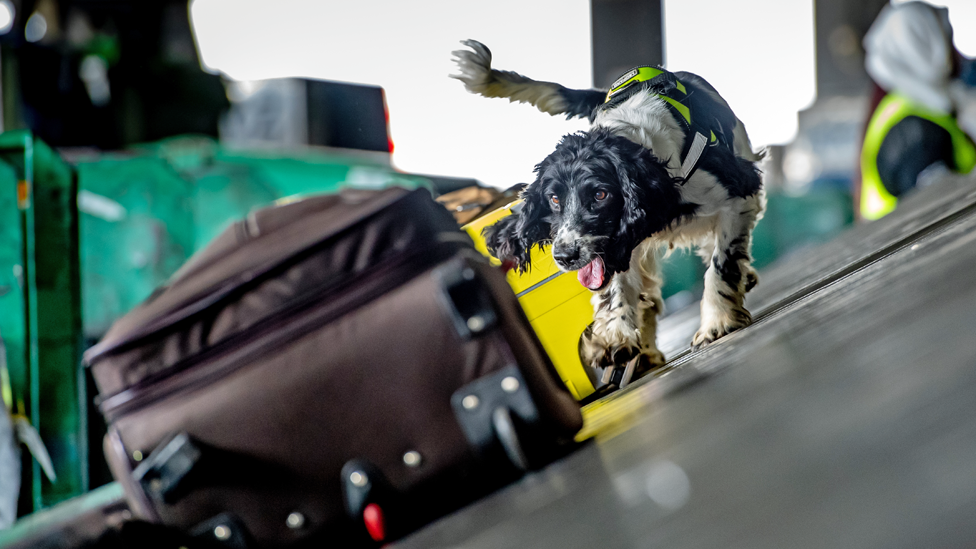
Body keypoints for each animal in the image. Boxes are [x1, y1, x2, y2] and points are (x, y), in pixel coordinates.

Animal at [454, 39, 768, 382]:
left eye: (600, 194)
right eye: (553, 199)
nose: (564, 256)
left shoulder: (739, 194)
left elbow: (721, 265)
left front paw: (717, 322)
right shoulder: (620, 244)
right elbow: (615, 288)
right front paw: (614, 339)